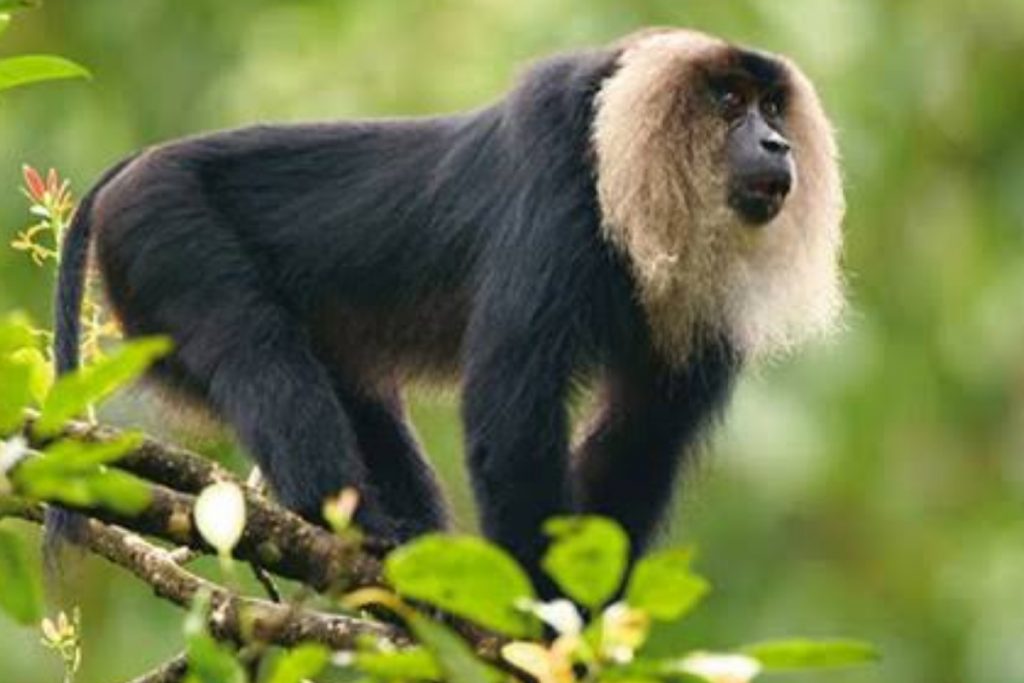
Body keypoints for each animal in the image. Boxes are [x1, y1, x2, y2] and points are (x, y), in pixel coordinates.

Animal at [51, 29, 843, 589]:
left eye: (772, 107)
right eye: (729, 102)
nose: (776, 143)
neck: (622, 177)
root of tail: (138, 165)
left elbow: (638, 440)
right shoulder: (557, 191)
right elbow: (511, 427)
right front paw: (537, 617)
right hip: (163, 228)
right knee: (255, 348)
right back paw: (359, 526)